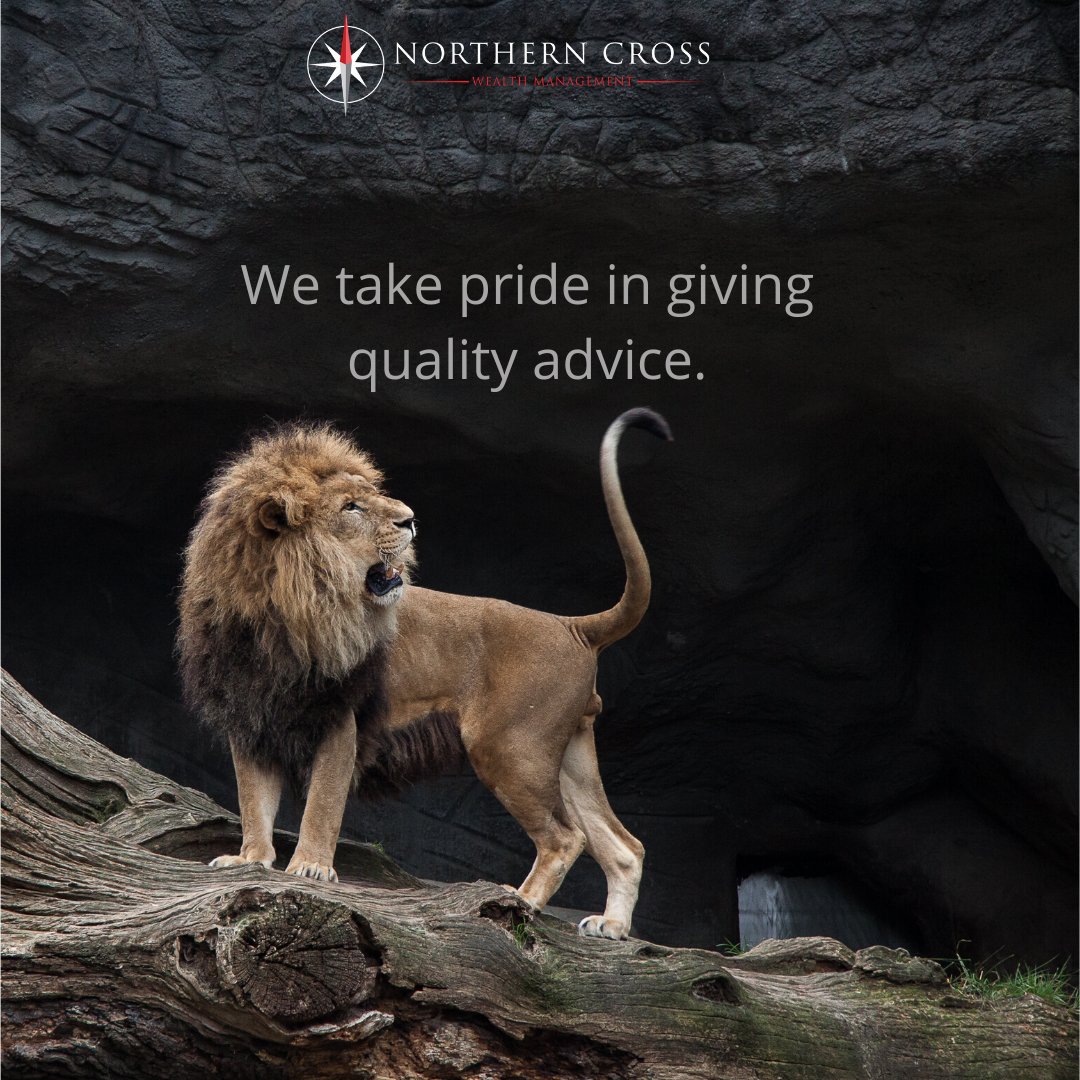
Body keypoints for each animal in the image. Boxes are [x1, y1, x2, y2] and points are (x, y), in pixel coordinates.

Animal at [178, 407, 671, 939]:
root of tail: (570, 625)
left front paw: (310, 867)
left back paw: (520, 903)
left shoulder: (340, 718)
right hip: (566, 754)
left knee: (565, 838)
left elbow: (323, 802)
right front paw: (251, 859)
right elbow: (253, 799)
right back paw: (612, 926)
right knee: (623, 845)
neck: (277, 615)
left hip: (509, 747)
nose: (410, 518)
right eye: (351, 506)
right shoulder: (250, 718)